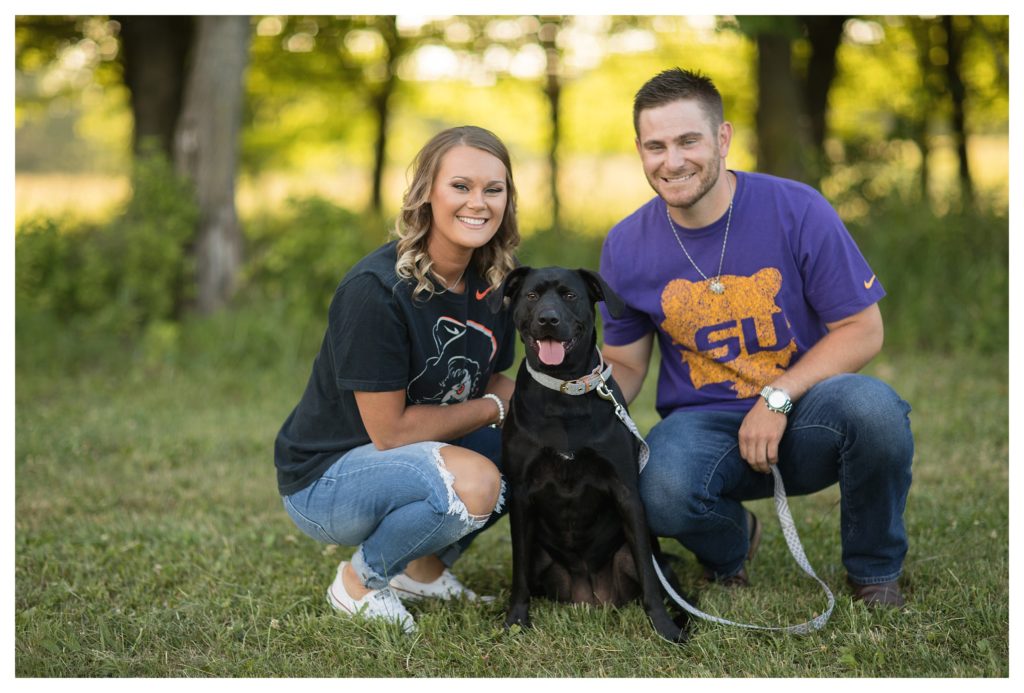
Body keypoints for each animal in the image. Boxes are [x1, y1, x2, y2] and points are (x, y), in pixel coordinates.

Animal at [487, 266, 688, 642]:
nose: (548, 319)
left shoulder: (626, 492)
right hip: (541, 558)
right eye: (532, 295)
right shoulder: (521, 495)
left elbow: (649, 578)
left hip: (642, 559)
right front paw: (516, 621)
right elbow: (518, 575)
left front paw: (664, 628)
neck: (565, 390)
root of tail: (591, 596)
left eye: (570, 295)